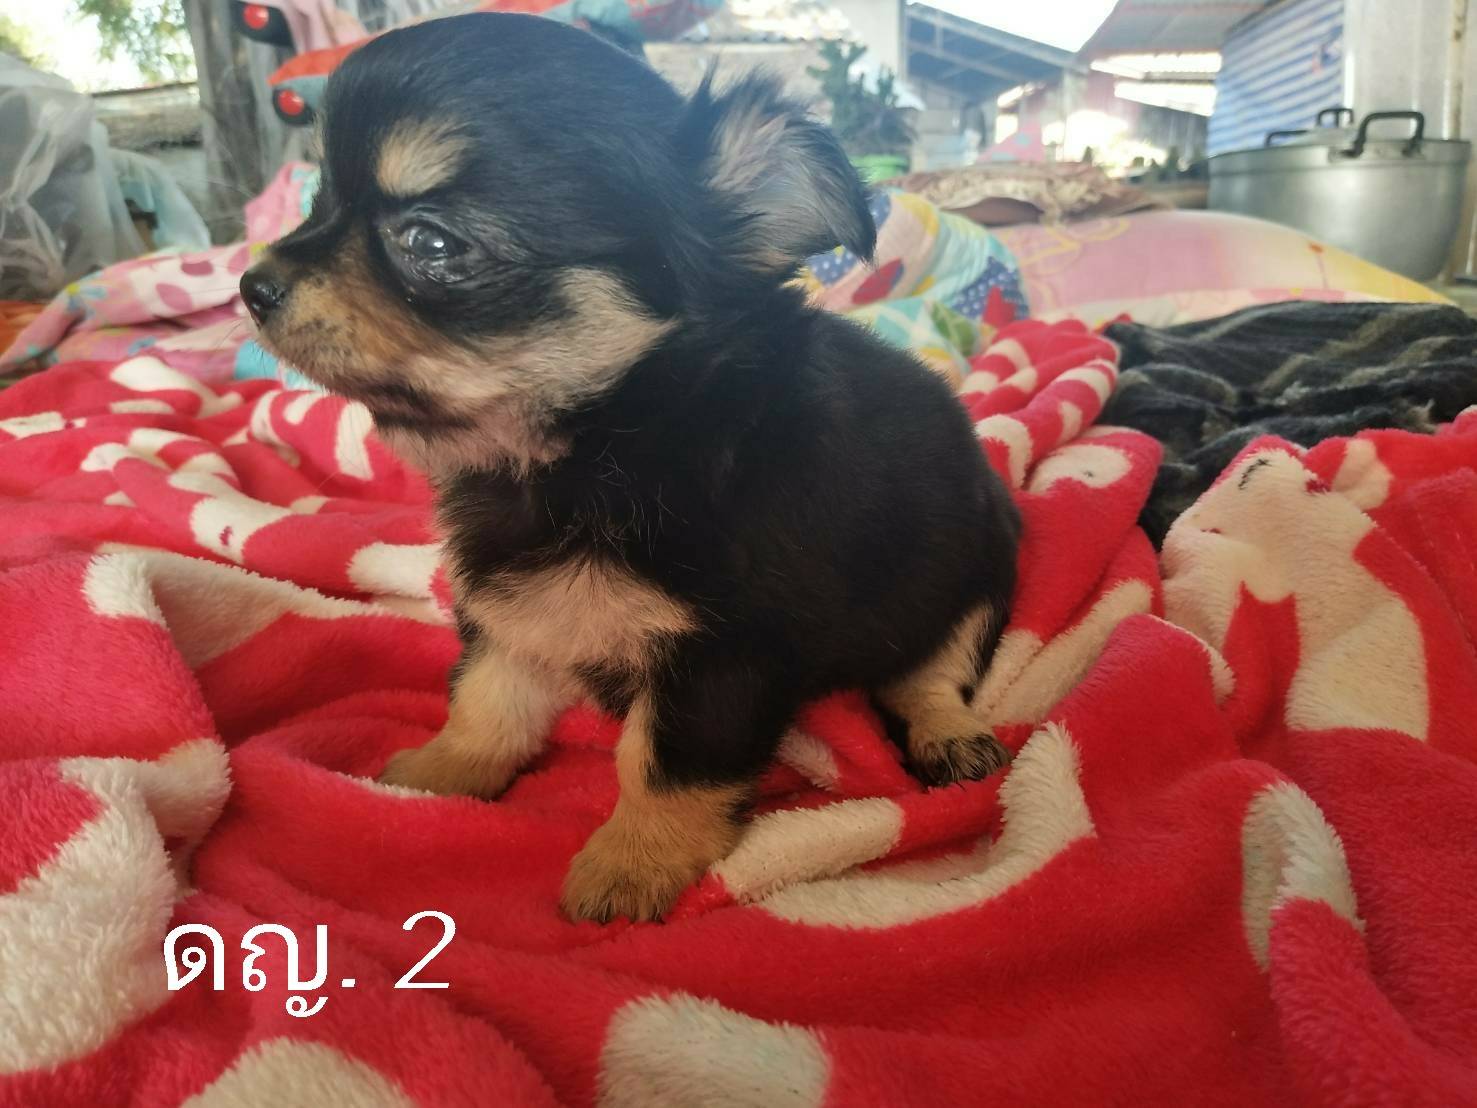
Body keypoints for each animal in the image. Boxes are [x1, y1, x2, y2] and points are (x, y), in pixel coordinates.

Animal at [240, 12, 1021, 923]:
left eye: (431, 241)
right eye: (317, 202)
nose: (252, 284)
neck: (592, 449)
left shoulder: (721, 656)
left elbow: (660, 764)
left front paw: (629, 865)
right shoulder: (509, 607)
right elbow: (488, 700)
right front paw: (437, 776)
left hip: (974, 574)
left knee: (927, 676)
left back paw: (949, 738)